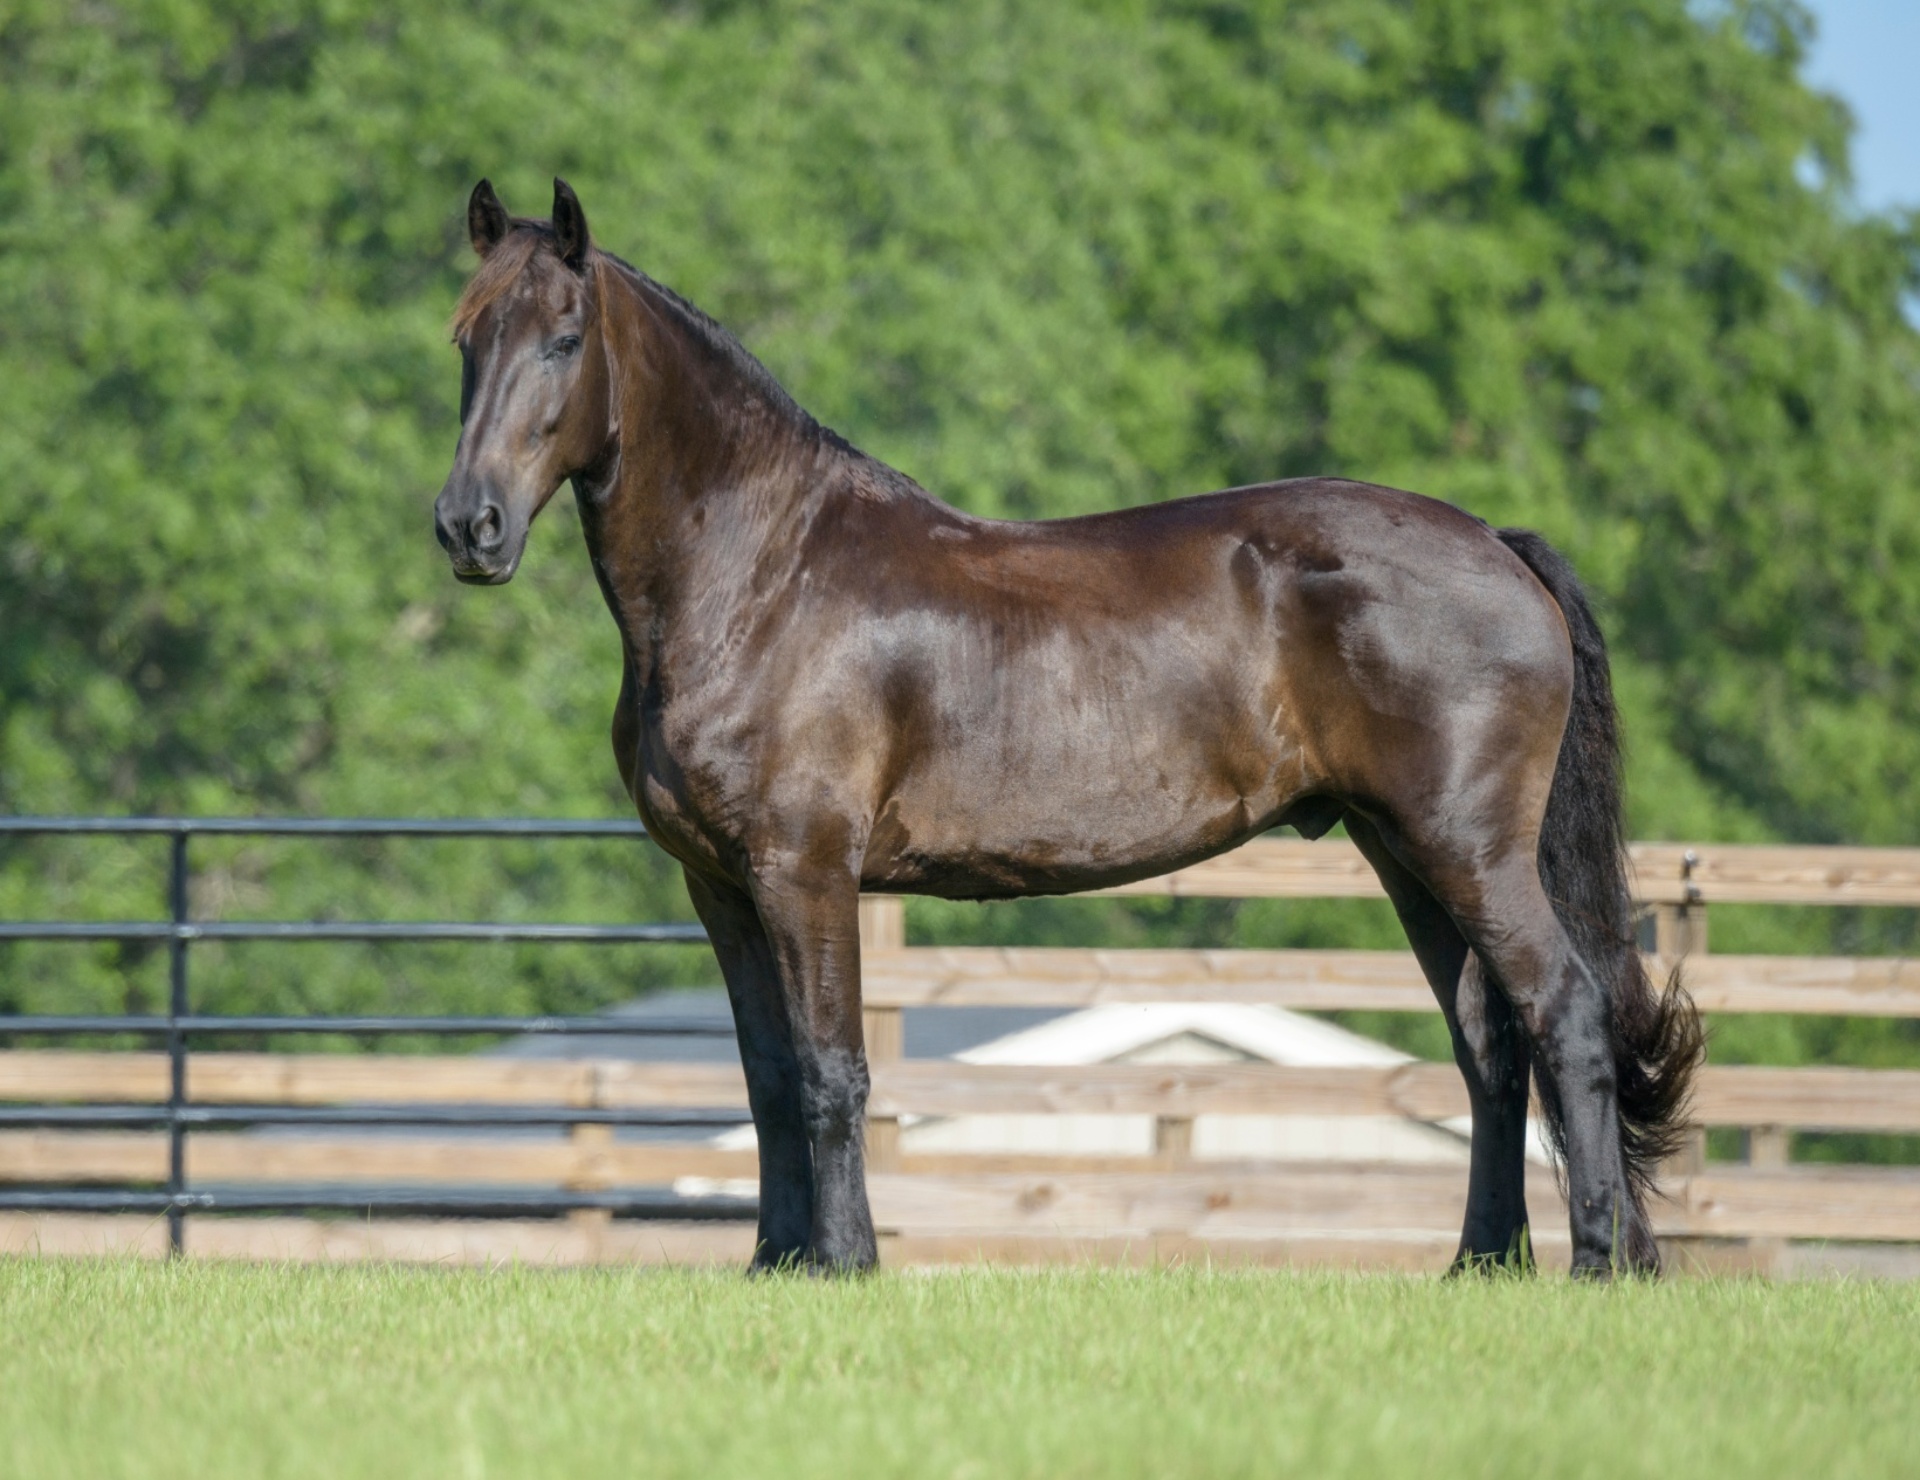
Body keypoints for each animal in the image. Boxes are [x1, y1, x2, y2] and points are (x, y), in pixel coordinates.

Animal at [433, 178, 1702, 1277]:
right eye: (465, 341)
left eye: (563, 338)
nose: (467, 525)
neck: (764, 574)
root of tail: (1496, 543)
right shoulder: (722, 886)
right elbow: (766, 1080)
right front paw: (775, 1263)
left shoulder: (806, 869)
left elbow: (831, 1071)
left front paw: (845, 1263)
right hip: (1404, 851)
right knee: (1490, 1046)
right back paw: (1483, 1263)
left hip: (1468, 848)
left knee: (1564, 1013)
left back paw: (1600, 1259)